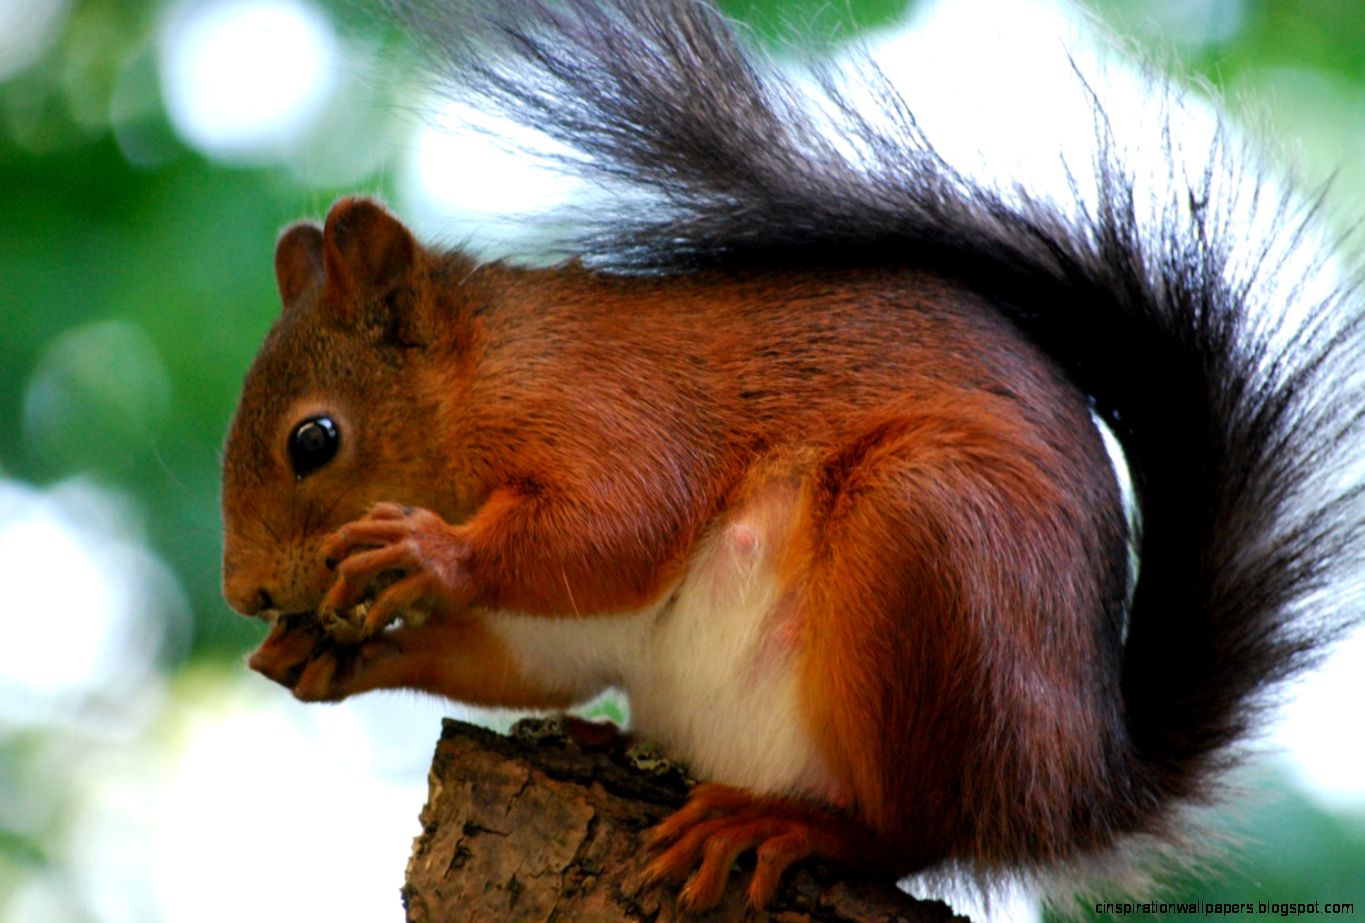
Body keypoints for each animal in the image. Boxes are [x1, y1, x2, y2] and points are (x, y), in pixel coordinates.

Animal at [221, 0, 1365, 913]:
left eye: (314, 439)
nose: (242, 593)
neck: (485, 376)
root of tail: (1074, 790)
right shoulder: (554, 631)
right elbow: (523, 663)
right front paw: (330, 656)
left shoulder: (616, 411)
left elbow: (620, 527)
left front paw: (426, 554)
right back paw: (607, 746)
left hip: (929, 551)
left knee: (914, 831)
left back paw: (792, 825)